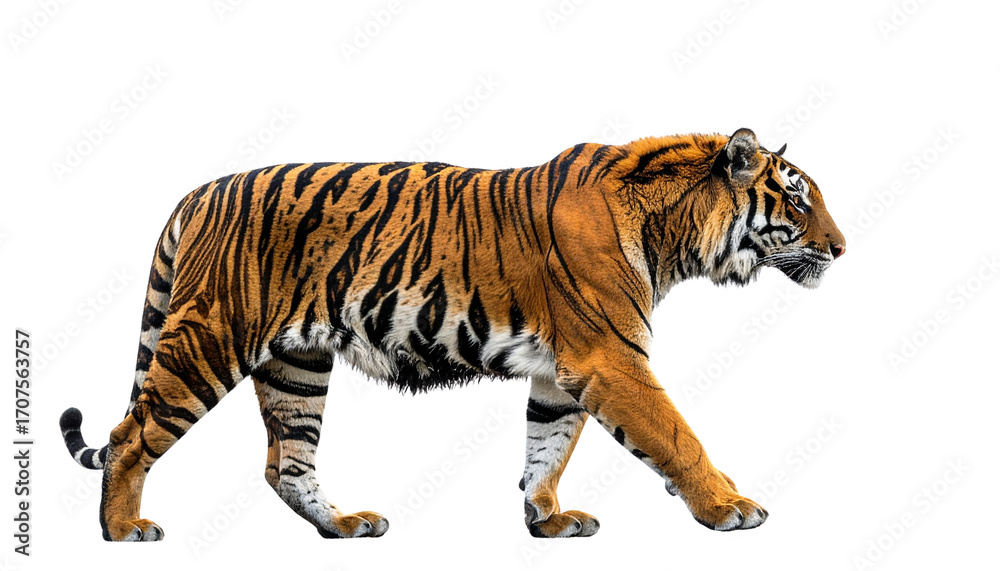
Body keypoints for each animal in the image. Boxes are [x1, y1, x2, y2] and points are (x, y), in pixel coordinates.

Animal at [59, 128, 845, 541]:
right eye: (799, 199)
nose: (841, 249)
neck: (675, 235)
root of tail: (200, 191)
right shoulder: (610, 357)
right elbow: (677, 436)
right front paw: (730, 507)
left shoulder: (561, 370)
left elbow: (546, 447)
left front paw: (545, 521)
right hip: (209, 340)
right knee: (130, 436)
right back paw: (124, 531)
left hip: (298, 366)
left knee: (287, 462)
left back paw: (345, 525)